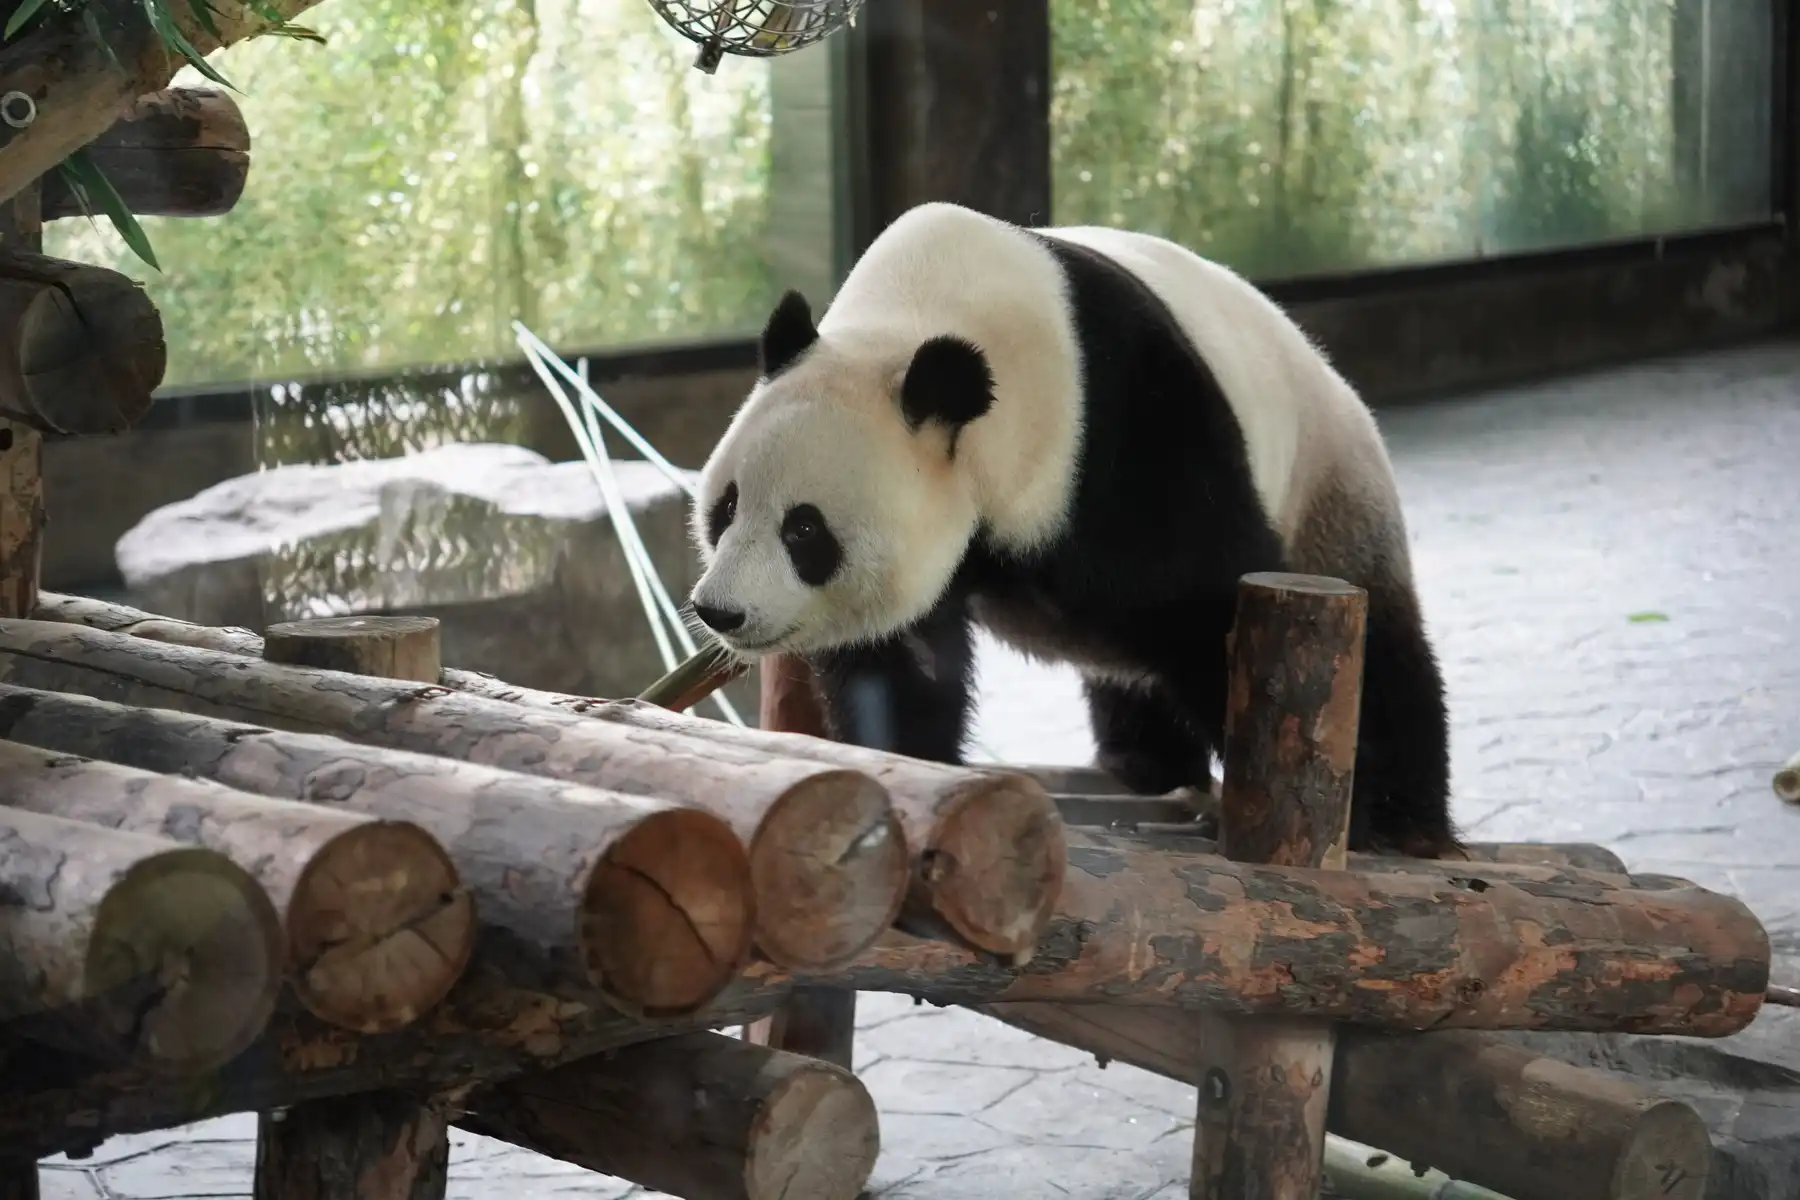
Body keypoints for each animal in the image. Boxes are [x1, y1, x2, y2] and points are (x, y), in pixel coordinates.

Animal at [686, 200, 1459, 858]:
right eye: (725, 508)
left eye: (804, 531)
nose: (720, 610)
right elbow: (903, 662)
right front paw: (916, 767)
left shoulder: (1129, 432)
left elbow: (1210, 605)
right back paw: (1143, 761)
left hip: (1329, 485)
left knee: (1383, 644)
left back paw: (1404, 816)